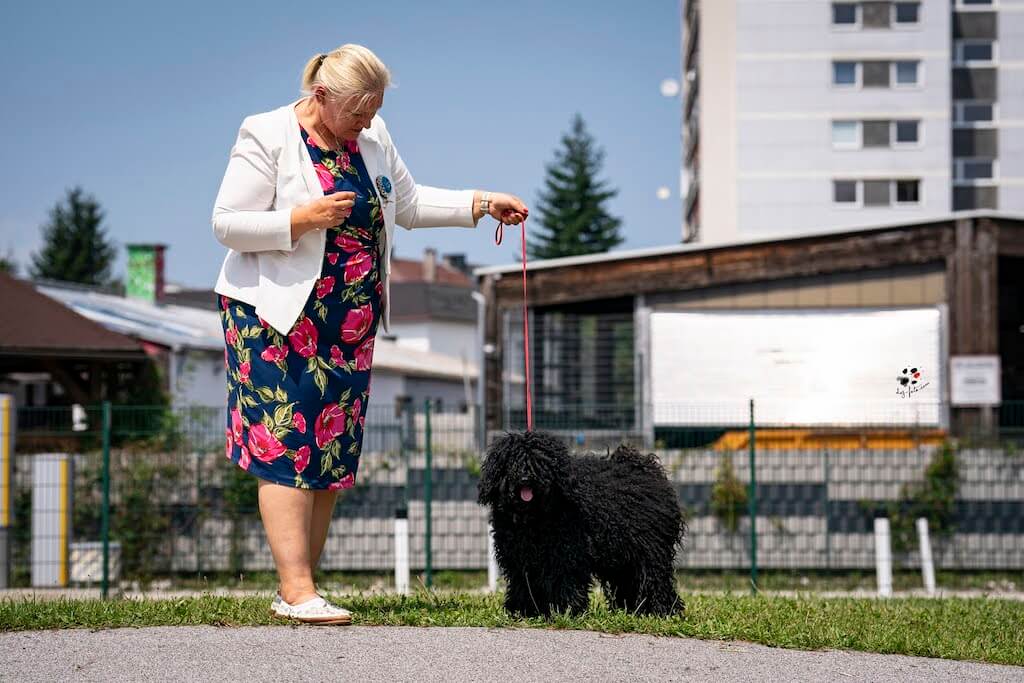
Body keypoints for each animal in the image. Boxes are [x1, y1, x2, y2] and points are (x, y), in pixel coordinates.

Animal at [475, 432, 684, 618]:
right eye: (512, 462)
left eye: (540, 463)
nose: (526, 478)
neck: (534, 516)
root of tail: (648, 469)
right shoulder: (519, 558)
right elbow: (522, 584)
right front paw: (522, 611)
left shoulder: (567, 553)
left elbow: (566, 581)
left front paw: (567, 610)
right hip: (623, 558)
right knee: (629, 582)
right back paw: (634, 610)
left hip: (649, 552)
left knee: (654, 580)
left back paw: (661, 611)